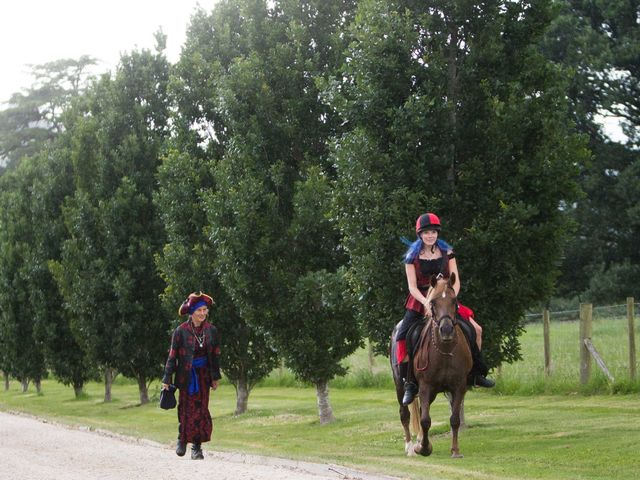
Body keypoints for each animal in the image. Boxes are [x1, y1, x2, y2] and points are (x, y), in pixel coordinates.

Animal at [388, 274, 472, 458]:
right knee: (404, 414)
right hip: (400, 385)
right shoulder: (426, 386)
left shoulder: (458, 386)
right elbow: (425, 420)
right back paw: (410, 447)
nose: (446, 330)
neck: (444, 351)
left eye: (454, 301)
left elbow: (454, 419)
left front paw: (455, 451)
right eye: (432, 302)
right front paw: (424, 449)